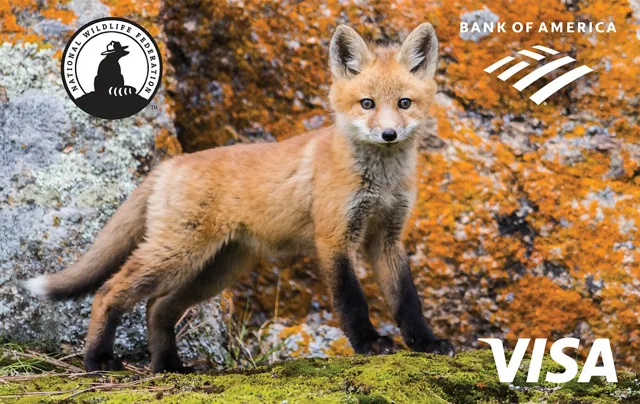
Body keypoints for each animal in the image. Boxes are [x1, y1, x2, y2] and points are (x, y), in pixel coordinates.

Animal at [24, 22, 455, 373]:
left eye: (404, 103)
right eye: (367, 104)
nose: (389, 135)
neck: (379, 181)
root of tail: (171, 163)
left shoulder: (388, 237)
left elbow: (406, 300)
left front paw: (426, 342)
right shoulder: (335, 237)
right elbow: (352, 301)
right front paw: (368, 343)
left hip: (217, 269)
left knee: (157, 308)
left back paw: (169, 367)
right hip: (177, 254)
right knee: (108, 292)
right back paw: (98, 359)